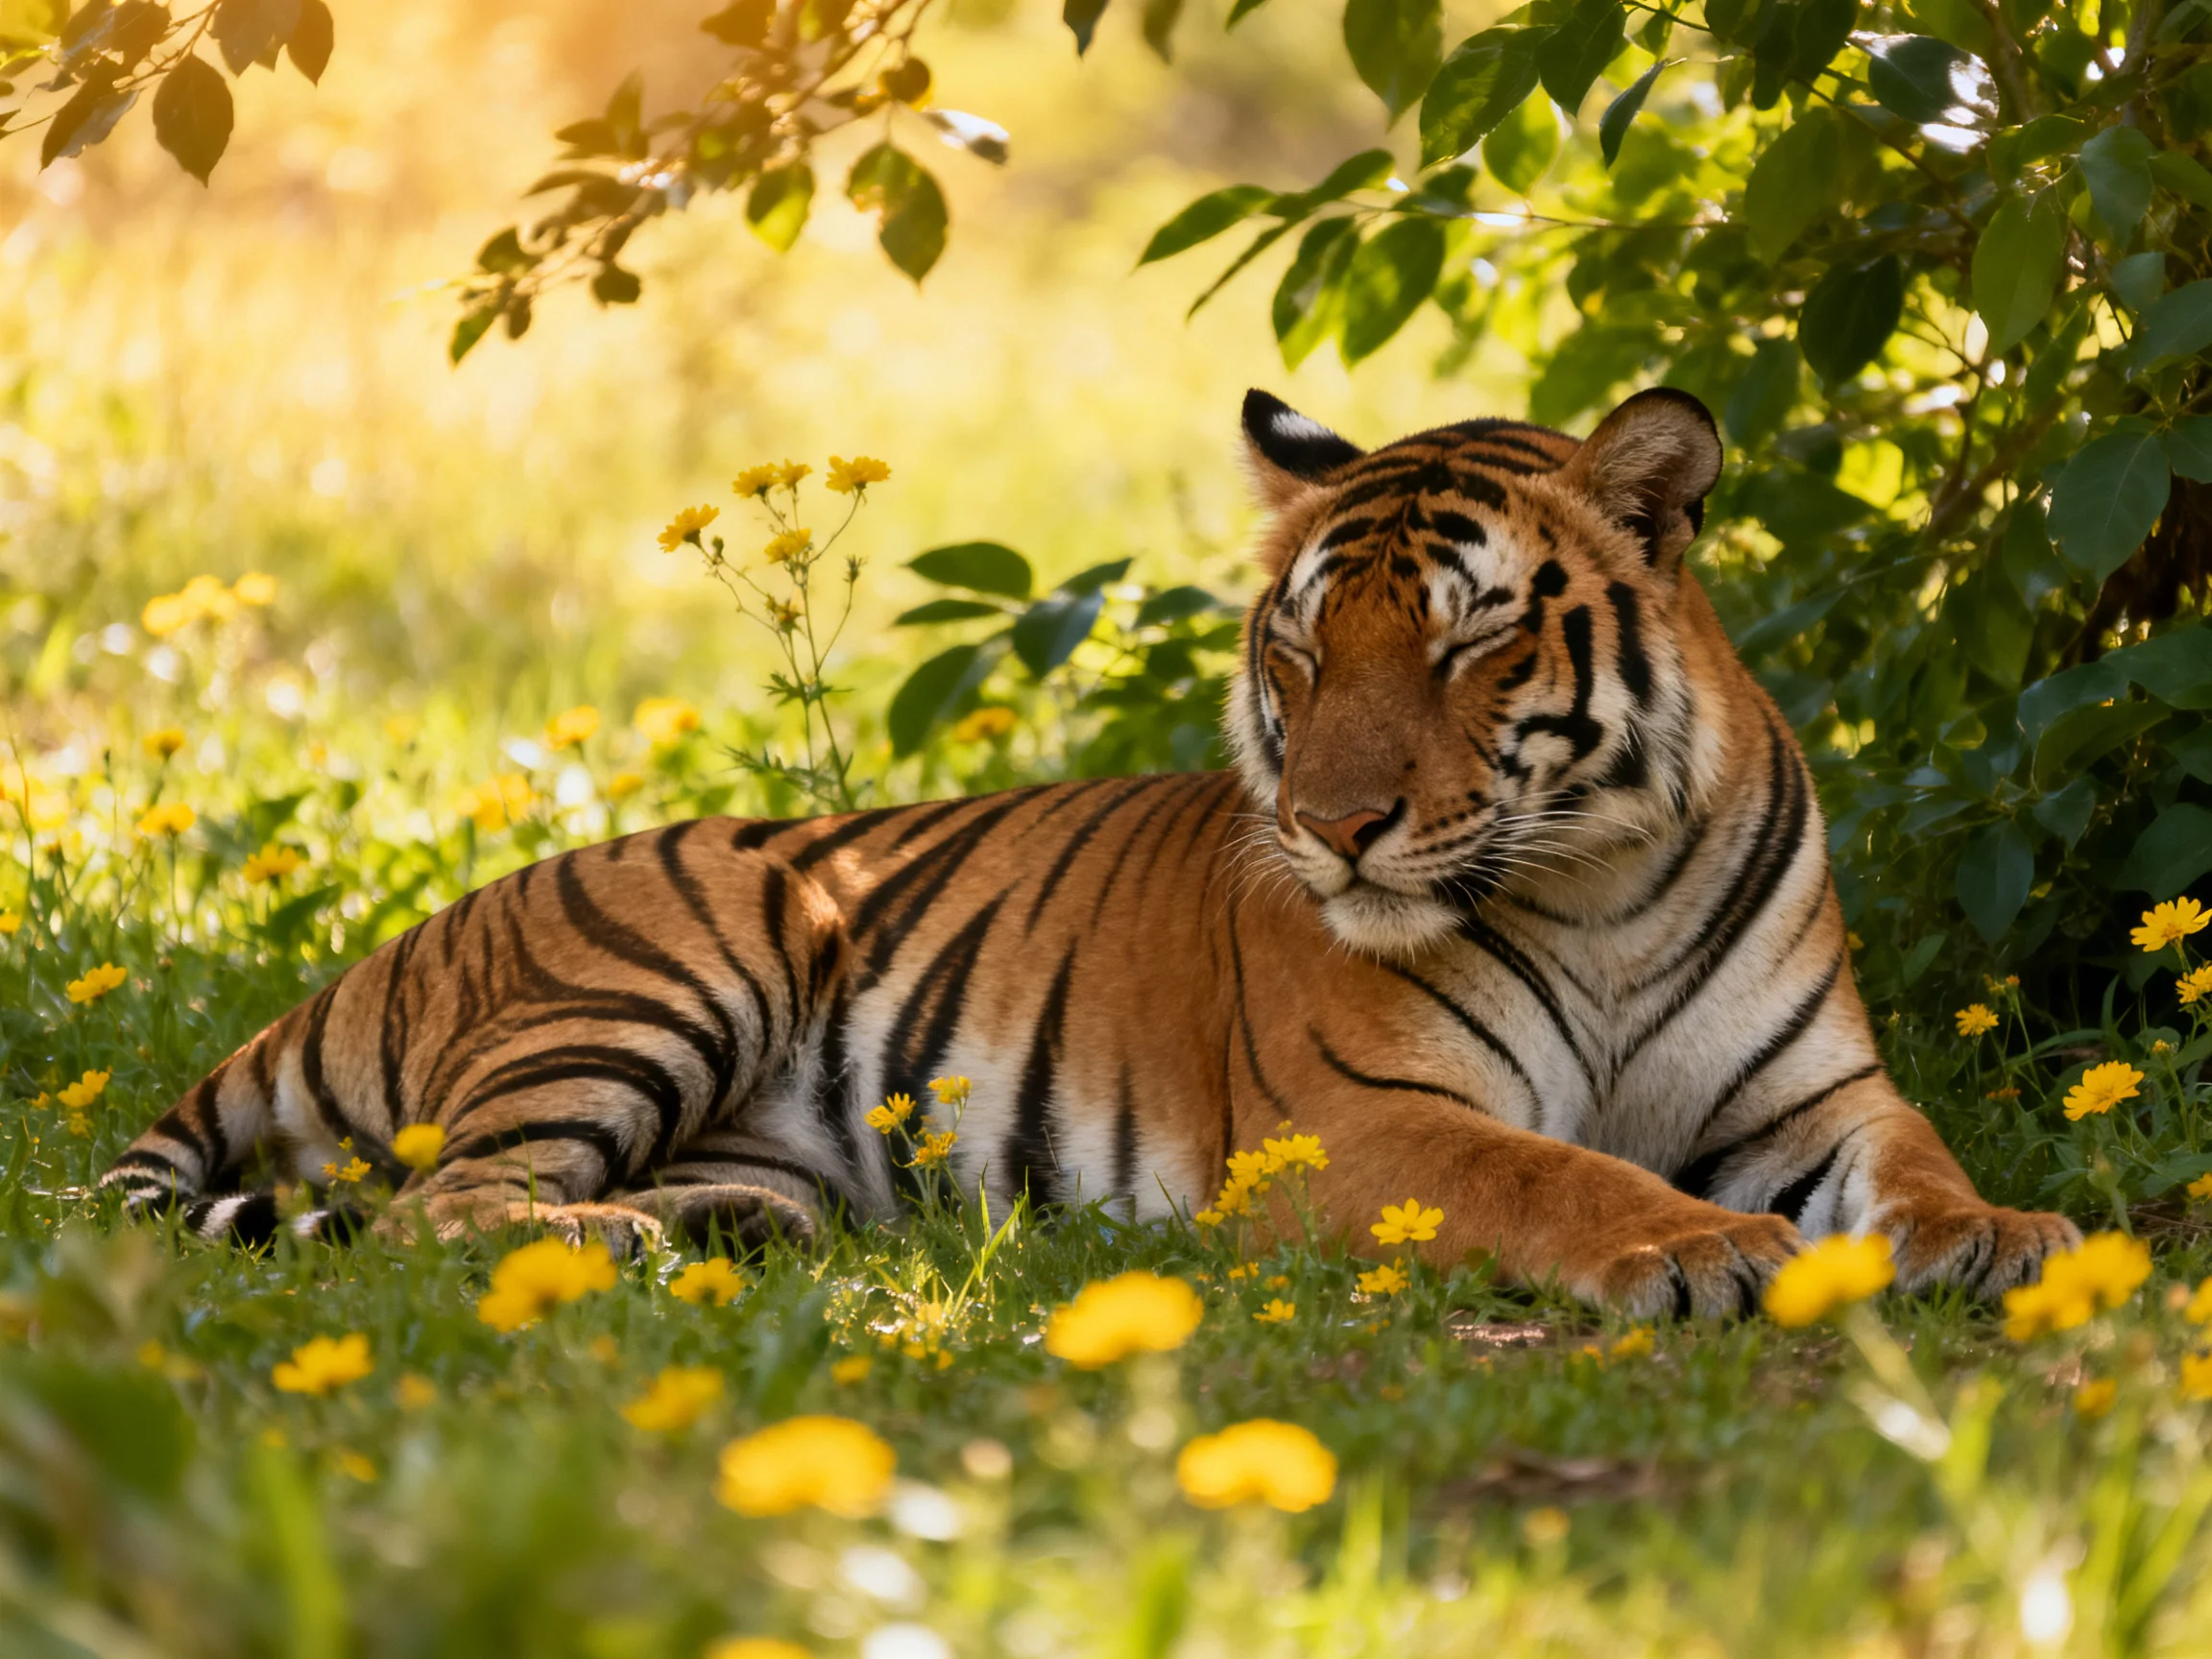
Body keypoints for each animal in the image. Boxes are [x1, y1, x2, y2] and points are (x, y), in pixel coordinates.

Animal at [100, 386, 2079, 1317]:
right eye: (1303, 651)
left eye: (1465, 642)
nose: (1327, 828)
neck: (1593, 882)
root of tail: (396, 940)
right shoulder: (1359, 1120)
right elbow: (1558, 1174)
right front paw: (1693, 1247)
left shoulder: (1810, 1095)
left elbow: (1915, 1165)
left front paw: (2005, 1234)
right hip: (689, 956)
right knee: (443, 1211)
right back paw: (628, 1241)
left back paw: (719, 1228)